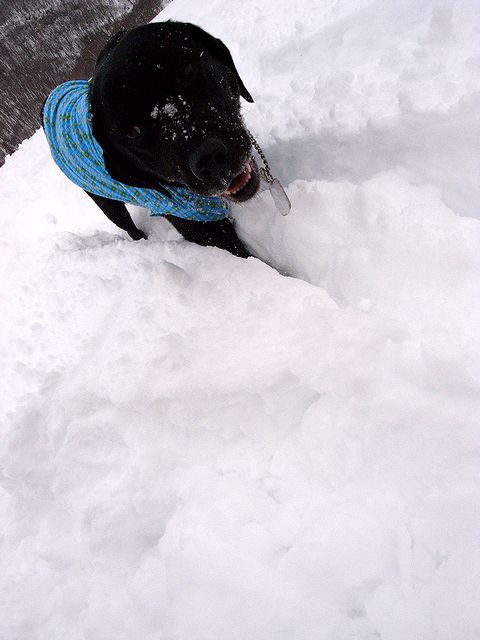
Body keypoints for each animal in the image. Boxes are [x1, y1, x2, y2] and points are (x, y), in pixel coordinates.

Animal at [43, 22, 260, 258]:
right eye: (133, 132)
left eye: (186, 70)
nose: (210, 158)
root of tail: (50, 97)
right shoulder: (200, 225)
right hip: (107, 204)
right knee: (127, 226)